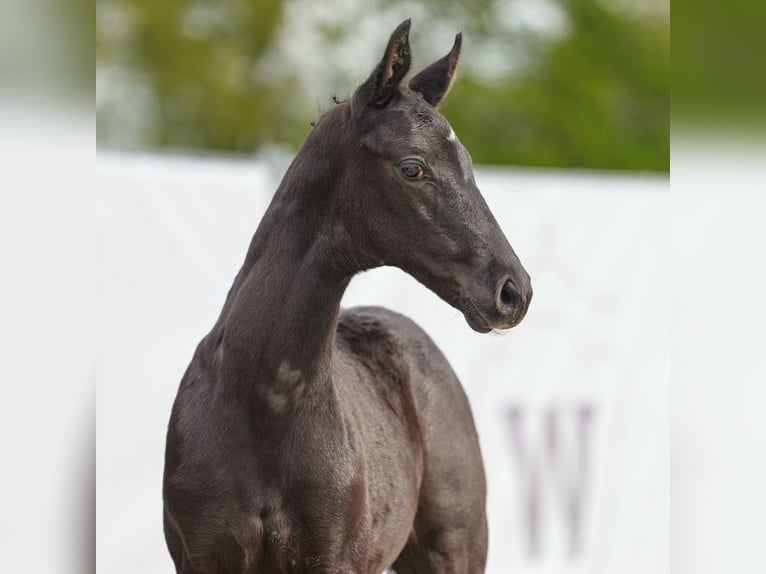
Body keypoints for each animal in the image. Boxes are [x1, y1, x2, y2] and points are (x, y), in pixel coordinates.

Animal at [162, 20, 536, 572]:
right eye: (412, 168)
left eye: (467, 162)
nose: (514, 290)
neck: (260, 404)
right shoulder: (203, 559)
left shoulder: (332, 560)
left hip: (454, 550)